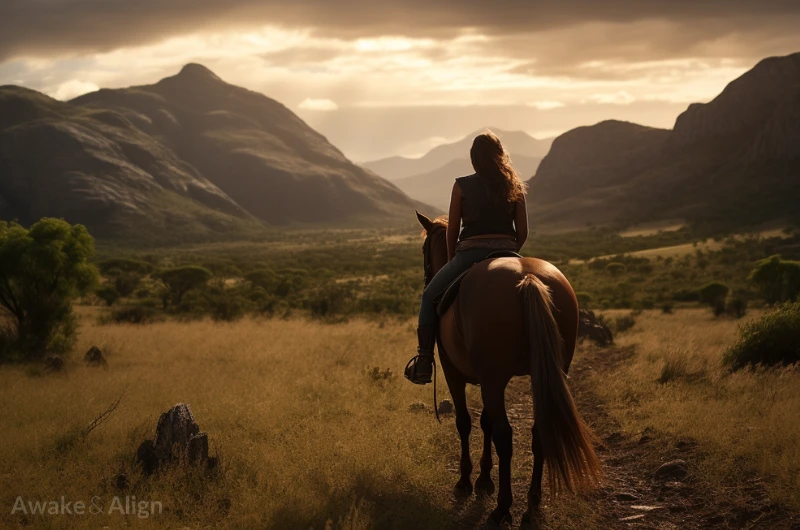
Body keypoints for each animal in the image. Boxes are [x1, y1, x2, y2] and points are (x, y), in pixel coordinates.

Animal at [418, 211, 600, 524]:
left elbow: (466, 422)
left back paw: (503, 508)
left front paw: (466, 481)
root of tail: (527, 277)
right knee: (539, 431)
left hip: (493, 378)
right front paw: (484, 480)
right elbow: (485, 422)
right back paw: (533, 503)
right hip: (547, 372)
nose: (428, 277)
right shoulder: (487, 379)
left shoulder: (455, 372)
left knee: (505, 435)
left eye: (423, 249)